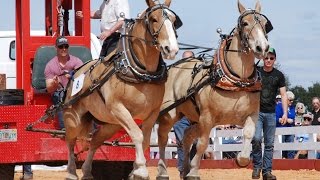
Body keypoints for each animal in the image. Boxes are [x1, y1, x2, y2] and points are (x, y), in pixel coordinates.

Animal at [61, 0, 179, 179]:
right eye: (153, 19)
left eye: (173, 20)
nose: (171, 49)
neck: (141, 72)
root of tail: (76, 74)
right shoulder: (118, 108)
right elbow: (137, 135)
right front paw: (141, 170)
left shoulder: (152, 113)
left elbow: (145, 141)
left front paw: (135, 170)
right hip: (73, 119)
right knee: (70, 141)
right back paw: (71, 172)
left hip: (111, 124)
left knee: (95, 140)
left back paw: (87, 171)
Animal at [156, 0, 272, 179]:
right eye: (245, 23)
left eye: (265, 24)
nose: (263, 48)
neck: (237, 81)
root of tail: (172, 69)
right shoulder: (207, 117)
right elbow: (203, 144)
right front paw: (194, 171)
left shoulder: (251, 115)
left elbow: (248, 134)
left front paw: (241, 159)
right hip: (171, 114)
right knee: (162, 138)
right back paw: (163, 171)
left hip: (193, 118)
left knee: (187, 135)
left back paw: (184, 169)